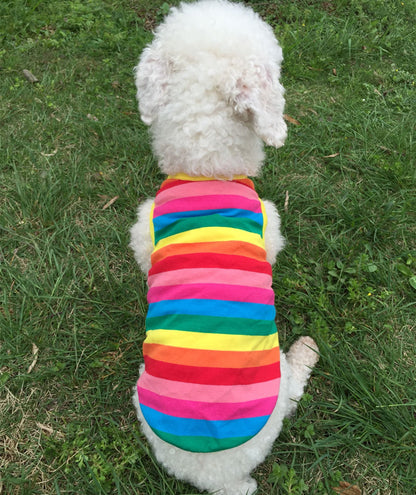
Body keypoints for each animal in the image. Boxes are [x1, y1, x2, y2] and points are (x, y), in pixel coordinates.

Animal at [130, 0, 318, 495]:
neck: (204, 168)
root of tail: (220, 476)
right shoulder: (270, 224)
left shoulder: (141, 233)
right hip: (278, 389)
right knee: (294, 393)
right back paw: (306, 352)